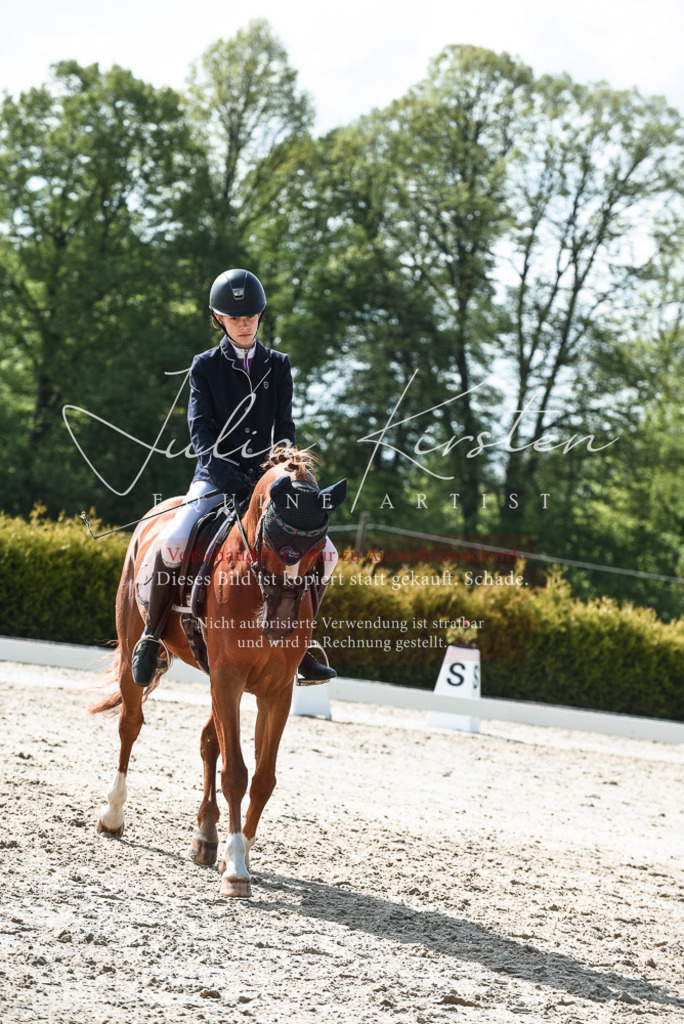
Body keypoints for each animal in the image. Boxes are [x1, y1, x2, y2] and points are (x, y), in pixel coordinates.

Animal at [89, 447, 346, 897]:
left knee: (209, 741)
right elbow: (236, 773)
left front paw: (237, 851)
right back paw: (113, 816)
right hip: (138, 645)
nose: (278, 628)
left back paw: (206, 838)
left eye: (318, 551)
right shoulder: (228, 679)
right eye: (273, 542)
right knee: (130, 724)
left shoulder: (275, 691)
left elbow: (262, 777)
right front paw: (236, 868)